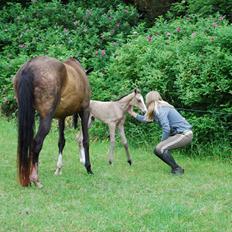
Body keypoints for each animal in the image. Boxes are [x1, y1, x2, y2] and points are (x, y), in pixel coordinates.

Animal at [13, 56, 93, 188]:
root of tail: (29, 67)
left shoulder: (61, 116)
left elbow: (61, 142)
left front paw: (58, 169)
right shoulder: (85, 110)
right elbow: (85, 140)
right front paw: (88, 167)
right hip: (46, 118)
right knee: (36, 143)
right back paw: (36, 179)